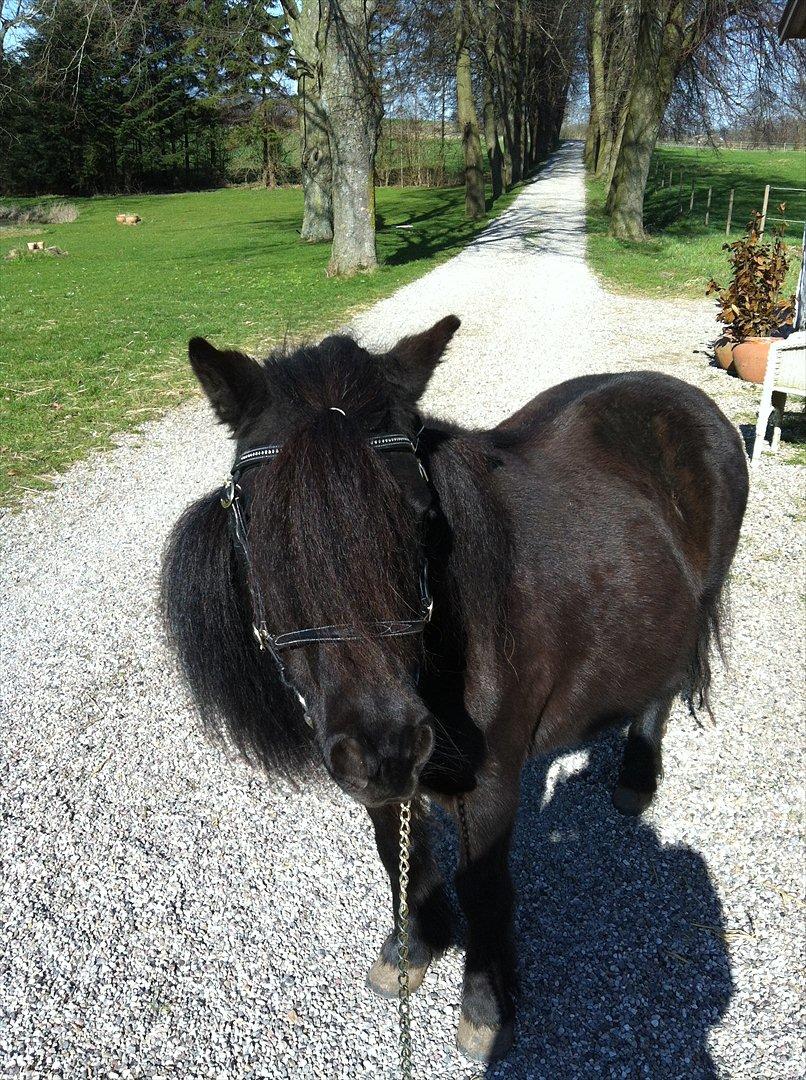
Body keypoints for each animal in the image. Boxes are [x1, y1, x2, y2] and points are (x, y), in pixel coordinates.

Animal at [161, 316, 749, 1063]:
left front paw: (486, 1006)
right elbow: (397, 851)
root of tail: (685, 395)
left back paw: (637, 779)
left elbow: (486, 887)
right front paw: (414, 943)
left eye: (421, 518)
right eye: (264, 532)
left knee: (663, 688)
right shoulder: (372, 772)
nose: (387, 743)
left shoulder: (490, 781)